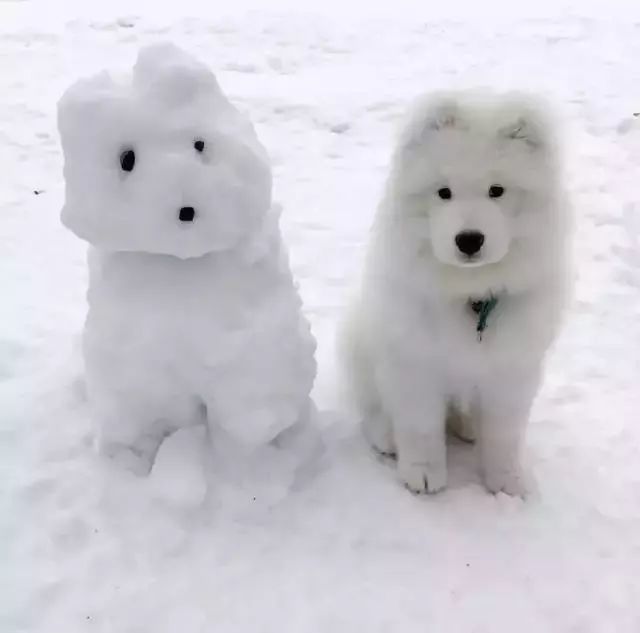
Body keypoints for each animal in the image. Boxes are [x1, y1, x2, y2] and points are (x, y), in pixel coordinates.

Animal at [340, 90, 568, 494]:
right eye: (443, 192)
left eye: (497, 191)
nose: (469, 240)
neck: (469, 292)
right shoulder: (415, 363)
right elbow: (420, 427)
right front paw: (423, 475)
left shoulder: (511, 370)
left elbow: (504, 434)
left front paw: (506, 482)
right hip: (362, 343)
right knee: (373, 408)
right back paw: (386, 438)